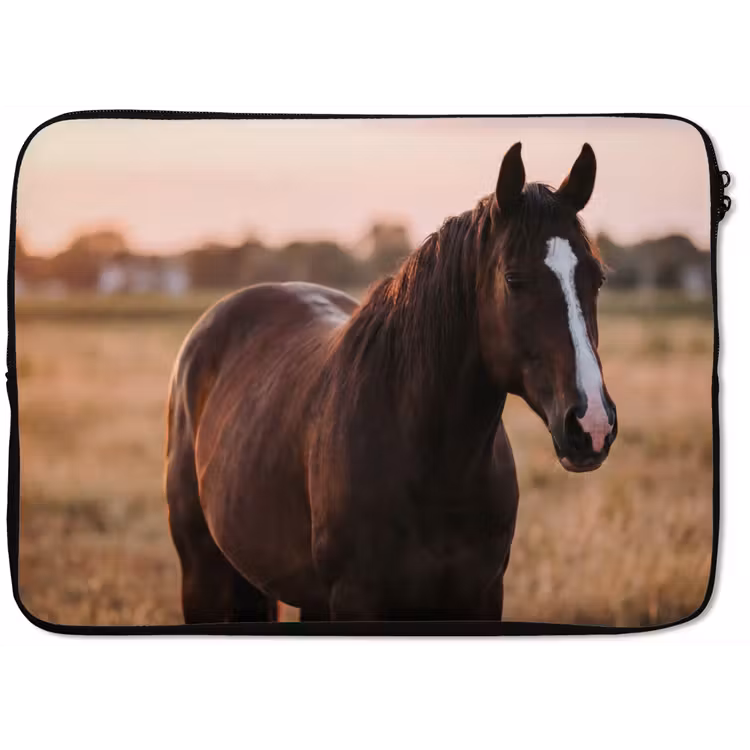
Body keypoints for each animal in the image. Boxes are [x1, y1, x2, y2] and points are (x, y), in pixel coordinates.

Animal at [164, 141, 618, 623]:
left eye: (597, 278)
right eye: (514, 279)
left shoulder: (481, 596)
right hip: (203, 575)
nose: (591, 425)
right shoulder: (356, 599)